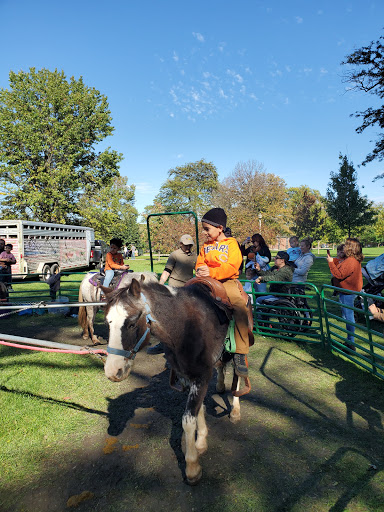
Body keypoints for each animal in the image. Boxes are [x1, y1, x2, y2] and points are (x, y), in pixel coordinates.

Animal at [103, 276, 250, 484]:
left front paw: (192, 467)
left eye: (131, 323)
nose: (112, 371)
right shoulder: (186, 377)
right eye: (108, 323)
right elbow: (199, 410)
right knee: (222, 367)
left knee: (238, 375)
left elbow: (188, 420)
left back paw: (235, 411)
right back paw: (221, 386)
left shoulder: (201, 377)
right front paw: (201, 441)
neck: (184, 328)